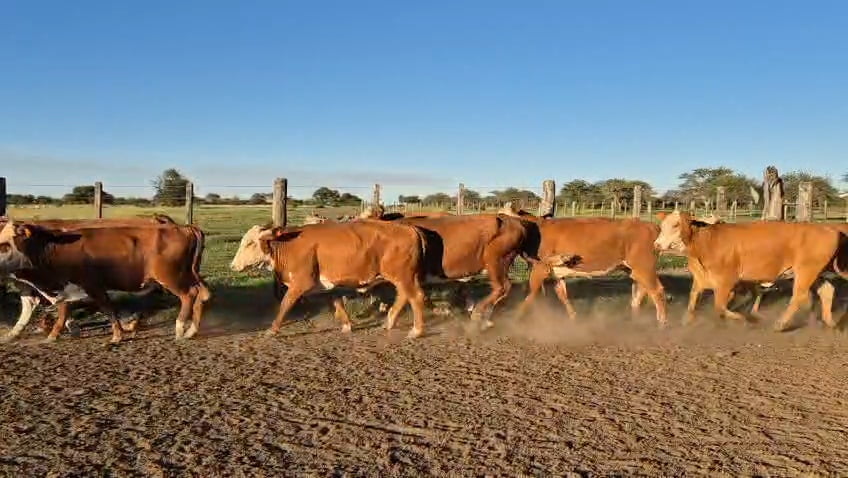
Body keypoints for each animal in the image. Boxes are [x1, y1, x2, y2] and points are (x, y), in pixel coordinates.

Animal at [0, 221, 211, 344]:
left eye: (4, 245)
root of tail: (185, 227)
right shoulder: (66, 288)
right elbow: (65, 310)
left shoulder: (91, 285)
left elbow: (106, 308)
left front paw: (117, 335)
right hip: (189, 275)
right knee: (201, 294)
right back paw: (192, 330)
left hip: (171, 277)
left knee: (189, 295)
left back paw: (180, 329)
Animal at [229, 221, 428, 338]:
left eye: (250, 243)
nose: (233, 266)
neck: (289, 245)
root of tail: (409, 228)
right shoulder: (326, 284)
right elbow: (337, 301)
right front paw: (347, 325)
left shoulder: (301, 283)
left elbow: (285, 304)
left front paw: (272, 329)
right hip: (403, 277)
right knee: (403, 296)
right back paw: (389, 322)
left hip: (403, 276)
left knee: (415, 297)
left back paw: (416, 330)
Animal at [499, 205, 668, 325]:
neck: (536, 230)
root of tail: (651, 225)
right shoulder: (557, 273)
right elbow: (562, 295)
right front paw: (573, 317)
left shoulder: (540, 269)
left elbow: (531, 294)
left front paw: (516, 318)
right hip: (632, 269)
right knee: (642, 291)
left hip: (643, 266)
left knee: (657, 290)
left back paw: (662, 323)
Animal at [653, 210, 848, 330]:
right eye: (662, 226)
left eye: (676, 225)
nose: (656, 244)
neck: (709, 241)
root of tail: (830, 228)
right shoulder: (701, 280)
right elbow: (693, 301)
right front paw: (686, 321)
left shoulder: (725, 282)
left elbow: (720, 307)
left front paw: (744, 319)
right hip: (816, 272)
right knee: (827, 290)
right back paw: (830, 322)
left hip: (806, 271)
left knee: (799, 296)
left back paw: (780, 324)